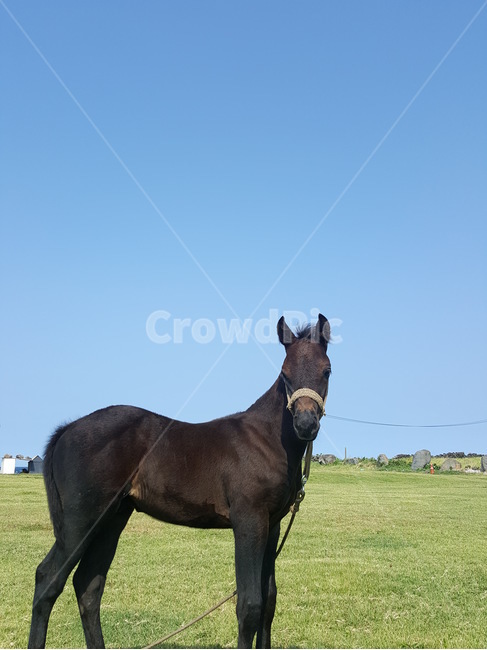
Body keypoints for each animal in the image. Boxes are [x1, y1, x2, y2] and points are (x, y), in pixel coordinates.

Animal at [28, 314, 332, 649]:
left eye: (326, 370)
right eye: (285, 373)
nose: (306, 424)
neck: (266, 438)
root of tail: (67, 429)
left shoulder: (273, 524)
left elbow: (269, 601)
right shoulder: (249, 521)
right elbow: (249, 604)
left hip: (111, 519)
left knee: (88, 586)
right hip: (80, 520)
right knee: (47, 579)